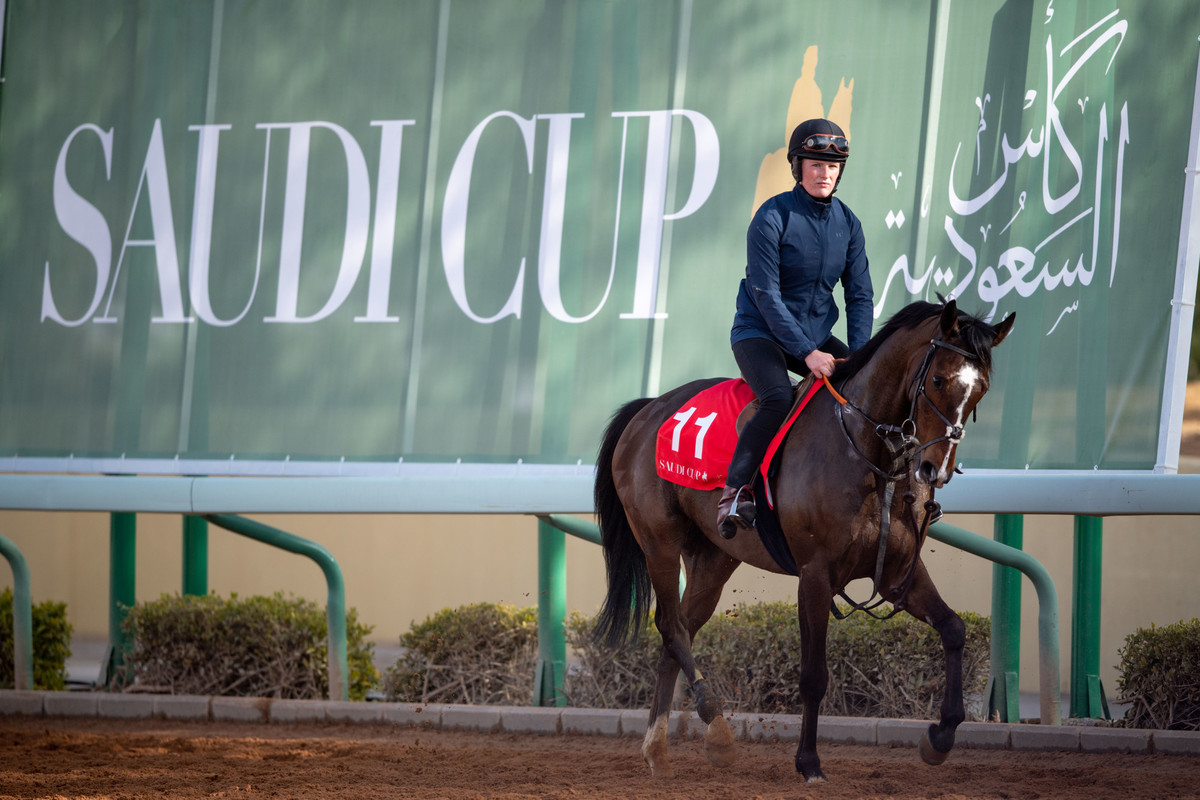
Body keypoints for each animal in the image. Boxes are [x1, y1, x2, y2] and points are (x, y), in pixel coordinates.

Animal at [590, 299, 1012, 782]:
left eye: (980, 392)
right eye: (938, 380)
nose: (933, 470)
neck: (868, 455)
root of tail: (646, 410)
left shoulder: (898, 573)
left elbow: (955, 629)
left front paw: (940, 737)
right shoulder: (814, 575)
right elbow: (813, 675)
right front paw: (809, 762)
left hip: (713, 557)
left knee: (675, 637)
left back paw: (657, 750)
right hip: (659, 542)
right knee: (671, 628)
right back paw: (716, 727)